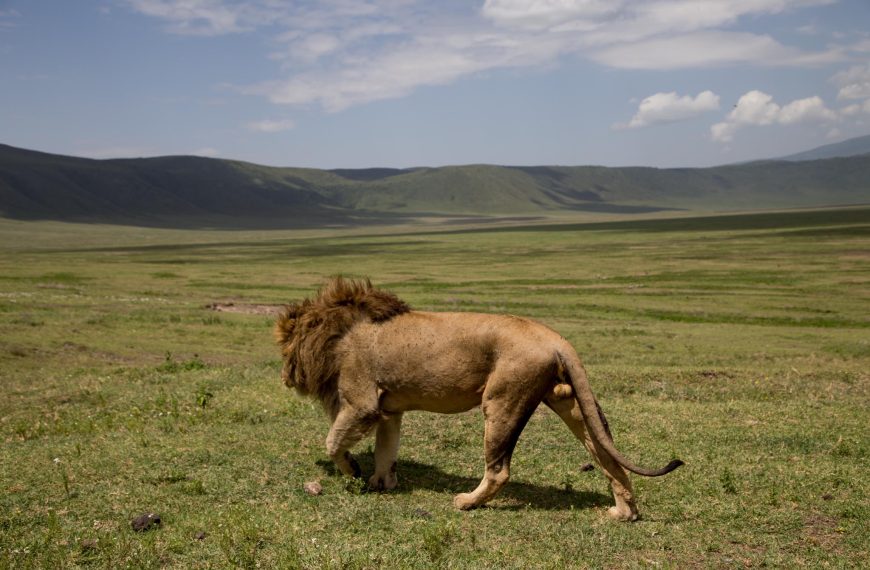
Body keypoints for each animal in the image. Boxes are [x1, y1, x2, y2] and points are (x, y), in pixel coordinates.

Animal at [275, 277, 682, 520]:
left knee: (499, 469)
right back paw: (624, 512)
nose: (283, 377)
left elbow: (332, 442)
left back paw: (466, 502)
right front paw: (381, 482)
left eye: (285, 351)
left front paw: (354, 472)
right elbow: (386, 449)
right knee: (604, 452)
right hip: (569, 401)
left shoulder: (361, 403)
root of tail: (555, 338)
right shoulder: (388, 410)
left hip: (503, 400)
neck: (336, 335)